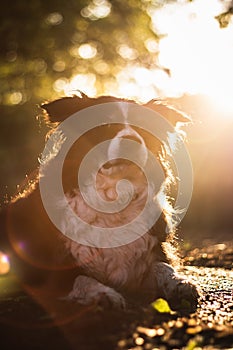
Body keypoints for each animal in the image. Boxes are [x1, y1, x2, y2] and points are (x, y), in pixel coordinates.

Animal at [0, 92, 198, 308]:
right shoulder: (50, 270)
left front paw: (180, 282)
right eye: (106, 122)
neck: (113, 199)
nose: (131, 140)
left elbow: (162, 266)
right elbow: (80, 278)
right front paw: (103, 294)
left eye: (142, 126)